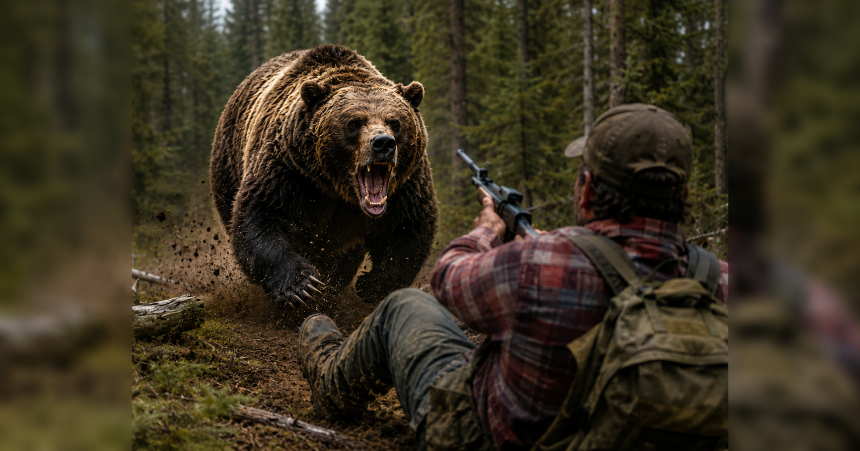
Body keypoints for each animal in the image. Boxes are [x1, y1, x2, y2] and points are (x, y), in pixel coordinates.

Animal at [209, 45, 438, 309]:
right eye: (354, 122)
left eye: (395, 122)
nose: (383, 143)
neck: (336, 188)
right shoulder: (289, 172)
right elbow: (262, 217)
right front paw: (301, 286)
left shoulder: (405, 185)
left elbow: (409, 227)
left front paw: (370, 284)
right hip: (228, 165)